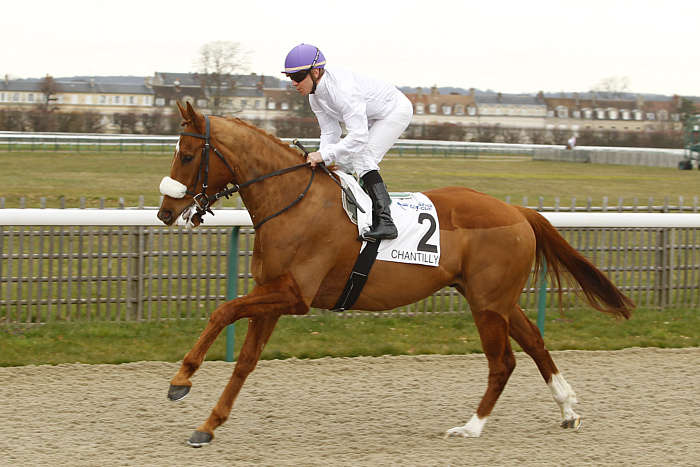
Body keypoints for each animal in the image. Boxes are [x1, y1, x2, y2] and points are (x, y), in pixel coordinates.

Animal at [157, 101, 634, 447]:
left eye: (187, 155)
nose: (165, 212)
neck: (293, 201)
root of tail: (517, 210)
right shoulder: (272, 294)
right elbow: (245, 362)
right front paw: (209, 424)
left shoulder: (294, 295)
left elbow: (222, 311)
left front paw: (181, 379)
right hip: (495, 299)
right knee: (534, 342)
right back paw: (568, 409)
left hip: (487, 304)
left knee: (503, 361)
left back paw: (472, 427)